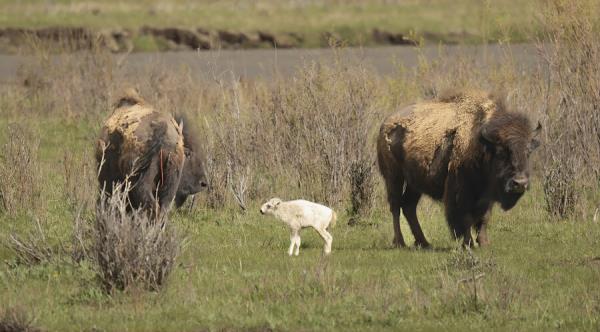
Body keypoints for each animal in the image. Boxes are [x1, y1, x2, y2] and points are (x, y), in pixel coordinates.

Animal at [378, 89, 540, 248]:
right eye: (501, 153)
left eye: (528, 152)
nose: (519, 183)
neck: (482, 143)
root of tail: (386, 123)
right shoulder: (461, 191)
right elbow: (465, 218)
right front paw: (468, 243)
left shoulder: (487, 194)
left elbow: (484, 218)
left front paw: (484, 243)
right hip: (394, 176)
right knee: (395, 206)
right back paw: (400, 242)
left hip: (415, 182)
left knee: (408, 206)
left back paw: (424, 243)